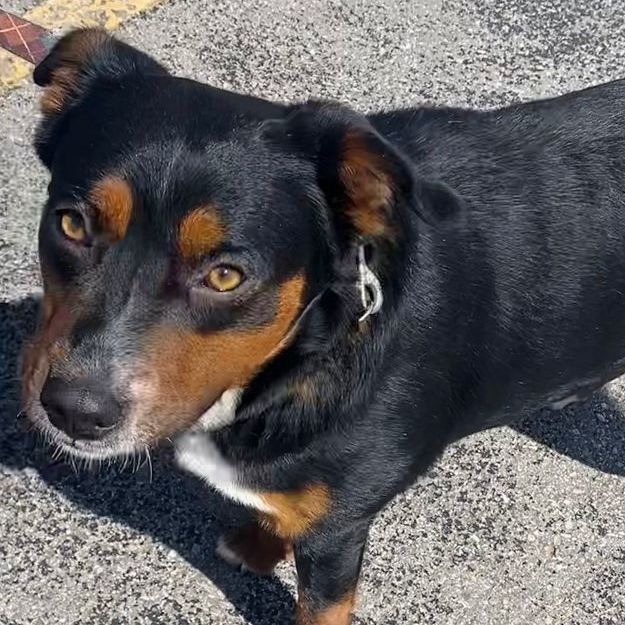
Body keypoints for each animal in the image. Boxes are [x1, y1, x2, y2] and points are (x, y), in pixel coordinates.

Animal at [20, 29, 625, 624]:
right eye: (71, 224)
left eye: (224, 276)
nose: (75, 410)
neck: (306, 351)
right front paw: (260, 543)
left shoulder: (339, 536)